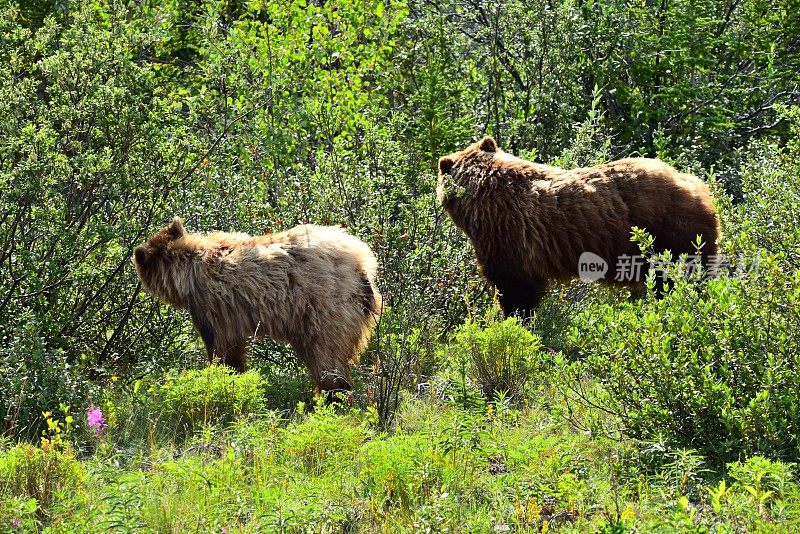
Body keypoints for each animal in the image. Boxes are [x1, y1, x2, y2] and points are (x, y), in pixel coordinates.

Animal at [133, 219, 382, 394]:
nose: (138, 250)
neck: (187, 273)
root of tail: (363, 264)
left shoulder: (212, 306)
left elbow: (223, 346)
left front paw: (223, 376)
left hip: (322, 306)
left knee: (325, 354)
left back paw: (332, 394)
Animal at [438, 136, 720, 318]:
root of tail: (697, 186)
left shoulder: (507, 237)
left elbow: (515, 288)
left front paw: (515, 320)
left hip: (670, 232)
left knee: (678, 277)